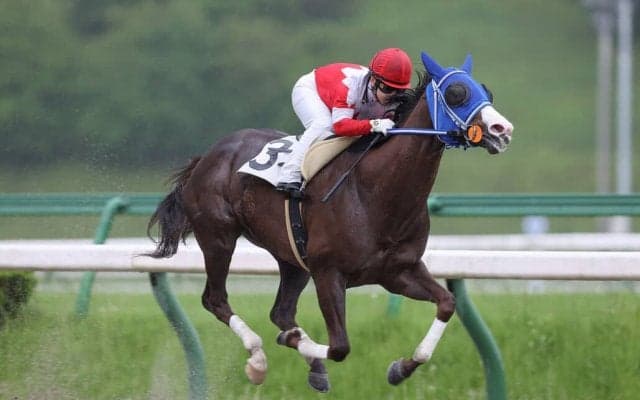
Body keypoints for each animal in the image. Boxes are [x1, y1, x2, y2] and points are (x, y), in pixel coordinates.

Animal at [146, 51, 513, 392]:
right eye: (456, 93)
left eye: (487, 91)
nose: (502, 130)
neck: (376, 191)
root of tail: (208, 156)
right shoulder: (328, 273)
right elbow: (340, 347)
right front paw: (290, 342)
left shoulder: (398, 271)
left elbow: (447, 304)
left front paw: (400, 369)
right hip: (218, 237)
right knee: (216, 299)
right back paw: (258, 360)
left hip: (291, 256)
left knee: (280, 311)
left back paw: (310, 364)